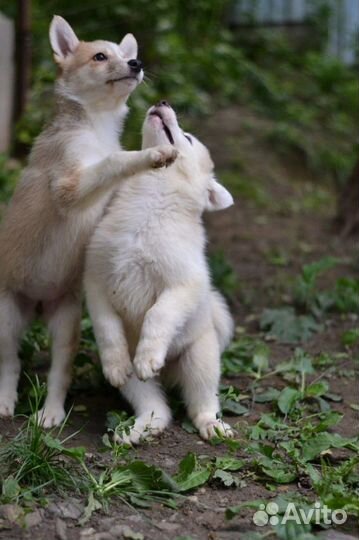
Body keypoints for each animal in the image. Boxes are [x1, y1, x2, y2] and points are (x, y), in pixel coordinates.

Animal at [0, 16, 177, 426]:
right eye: (100, 57)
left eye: (126, 55)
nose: (136, 63)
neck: (97, 128)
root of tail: (36, 304)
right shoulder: (69, 185)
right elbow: (114, 161)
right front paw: (153, 153)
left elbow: (115, 170)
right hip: (5, 319)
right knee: (9, 362)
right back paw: (4, 400)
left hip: (66, 324)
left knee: (58, 375)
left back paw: (50, 414)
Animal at [85, 101, 235, 442]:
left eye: (189, 138)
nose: (163, 102)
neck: (151, 196)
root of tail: (169, 376)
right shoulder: (96, 280)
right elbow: (106, 326)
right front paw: (115, 363)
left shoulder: (183, 284)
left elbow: (158, 314)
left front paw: (148, 356)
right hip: (138, 386)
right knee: (157, 408)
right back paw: (139, 429)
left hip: (200, 358)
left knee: (201, 401)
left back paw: (211, 424)